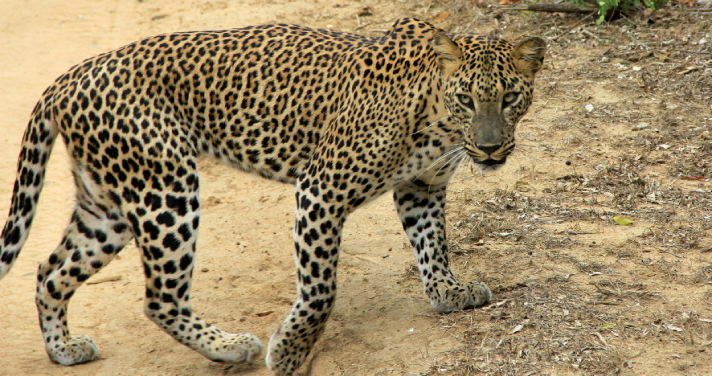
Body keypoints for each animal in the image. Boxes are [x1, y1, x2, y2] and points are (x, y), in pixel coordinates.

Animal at [0, 17, 544, 376]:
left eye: (510, 99)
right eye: (467, 99)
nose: (491, 148)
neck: (437, 121)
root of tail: (66, 79)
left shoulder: (422, 187)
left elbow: (434, 244)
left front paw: (449, 292)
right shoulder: (321, 191)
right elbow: (321, 290)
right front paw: (288, 353)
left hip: (108, 206)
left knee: (50, 271)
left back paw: (64, 350)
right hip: (165, 189)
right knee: (159, 298)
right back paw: (230, 346)